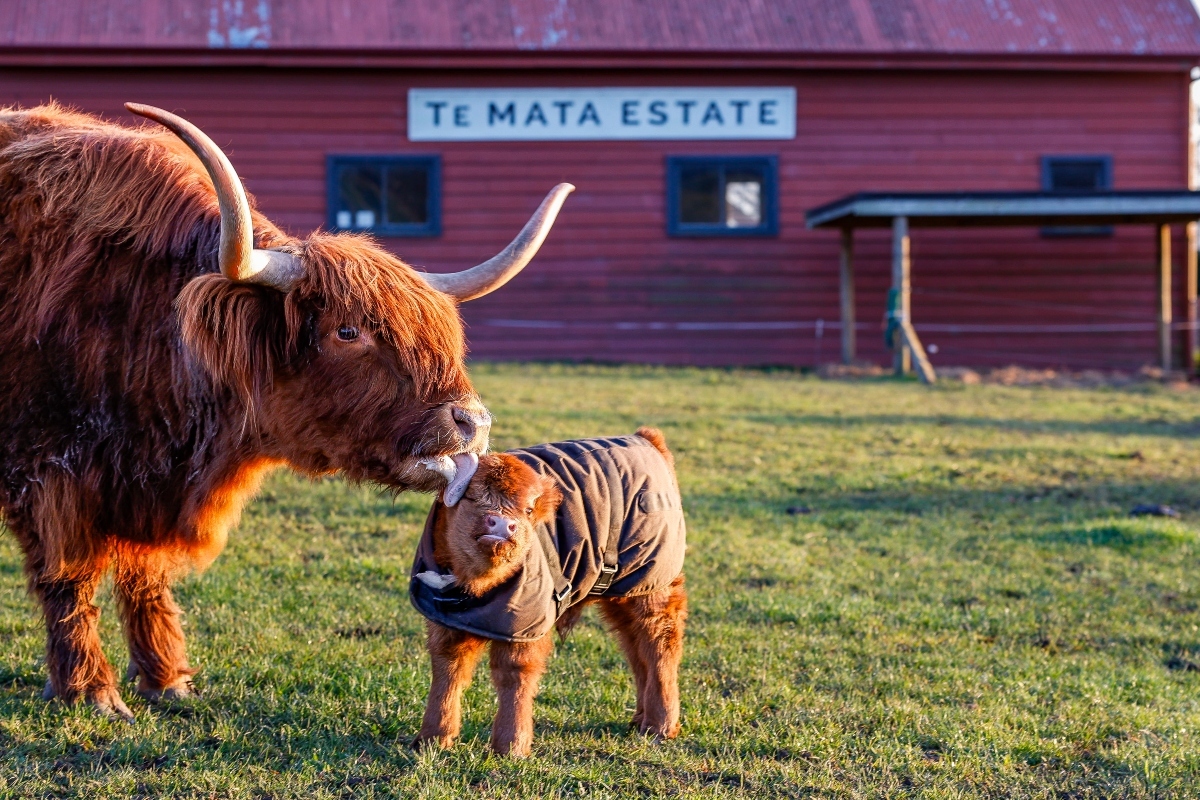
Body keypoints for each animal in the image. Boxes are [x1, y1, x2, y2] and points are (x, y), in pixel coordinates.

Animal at [0, 101, 573, 721]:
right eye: (347, 331)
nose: (473, 422)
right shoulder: (48, 473)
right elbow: (69, 577)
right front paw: (89, 691)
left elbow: (145, 576)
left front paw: (165, 679)